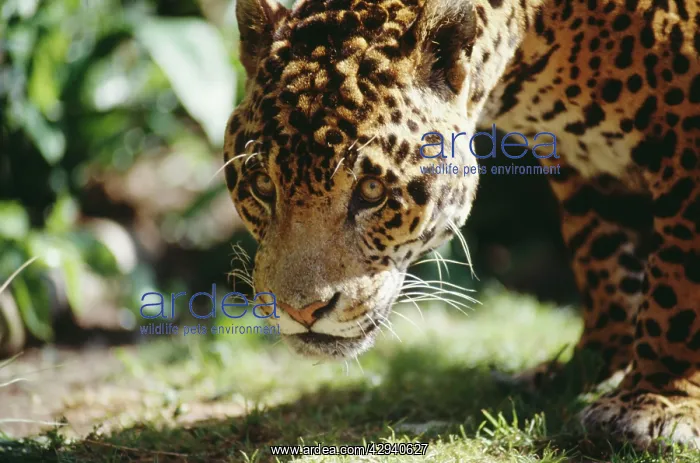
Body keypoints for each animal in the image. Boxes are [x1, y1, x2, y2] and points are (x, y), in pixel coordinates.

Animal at [223, 0, 700, 450]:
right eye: (262, 185)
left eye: (372, 191)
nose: (301, 312)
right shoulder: (584, 169)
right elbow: (605, 266)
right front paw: (584, 369)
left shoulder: (686, 156)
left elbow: (676, 287)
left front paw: (654, 401)